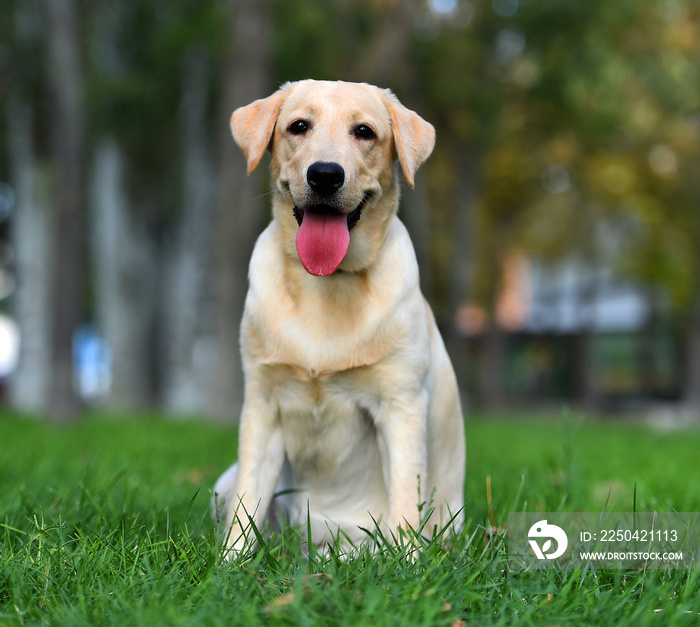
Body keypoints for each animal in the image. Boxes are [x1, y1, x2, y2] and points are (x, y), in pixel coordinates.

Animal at [212, 78, 464, 556]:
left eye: (364, 132)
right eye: (298, 126)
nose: (325, 174)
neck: (325, 284)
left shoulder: (401, 404)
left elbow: (405, 501)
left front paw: (407, 562)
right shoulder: (262, 404)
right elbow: (247, 504)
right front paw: (231, 563)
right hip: (223, 481)